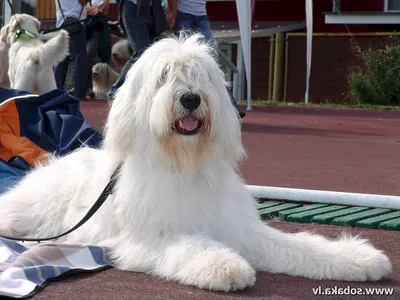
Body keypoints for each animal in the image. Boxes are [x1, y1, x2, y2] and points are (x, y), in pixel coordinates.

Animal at [0, 34, 392, 292]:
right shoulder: (149, 237)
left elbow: (298, 245)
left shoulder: (238, 228)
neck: (184, 164)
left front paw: (357, 258)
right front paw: (224, 266)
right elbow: (191, 245)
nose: (190, 98)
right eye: (164, 76)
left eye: (200, 76)